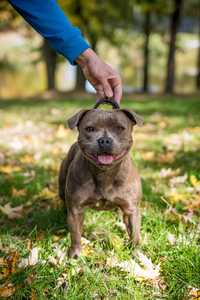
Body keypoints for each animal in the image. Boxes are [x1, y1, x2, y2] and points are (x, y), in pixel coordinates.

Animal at [58, 99, 143, 258]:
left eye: (120, 128)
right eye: (90, 129)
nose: (104, 140)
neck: (104, 174)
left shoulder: (131, 210)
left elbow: (134, 233)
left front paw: (136, 253)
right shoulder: (76, 210)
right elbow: (75, 234)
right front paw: (75, 254)